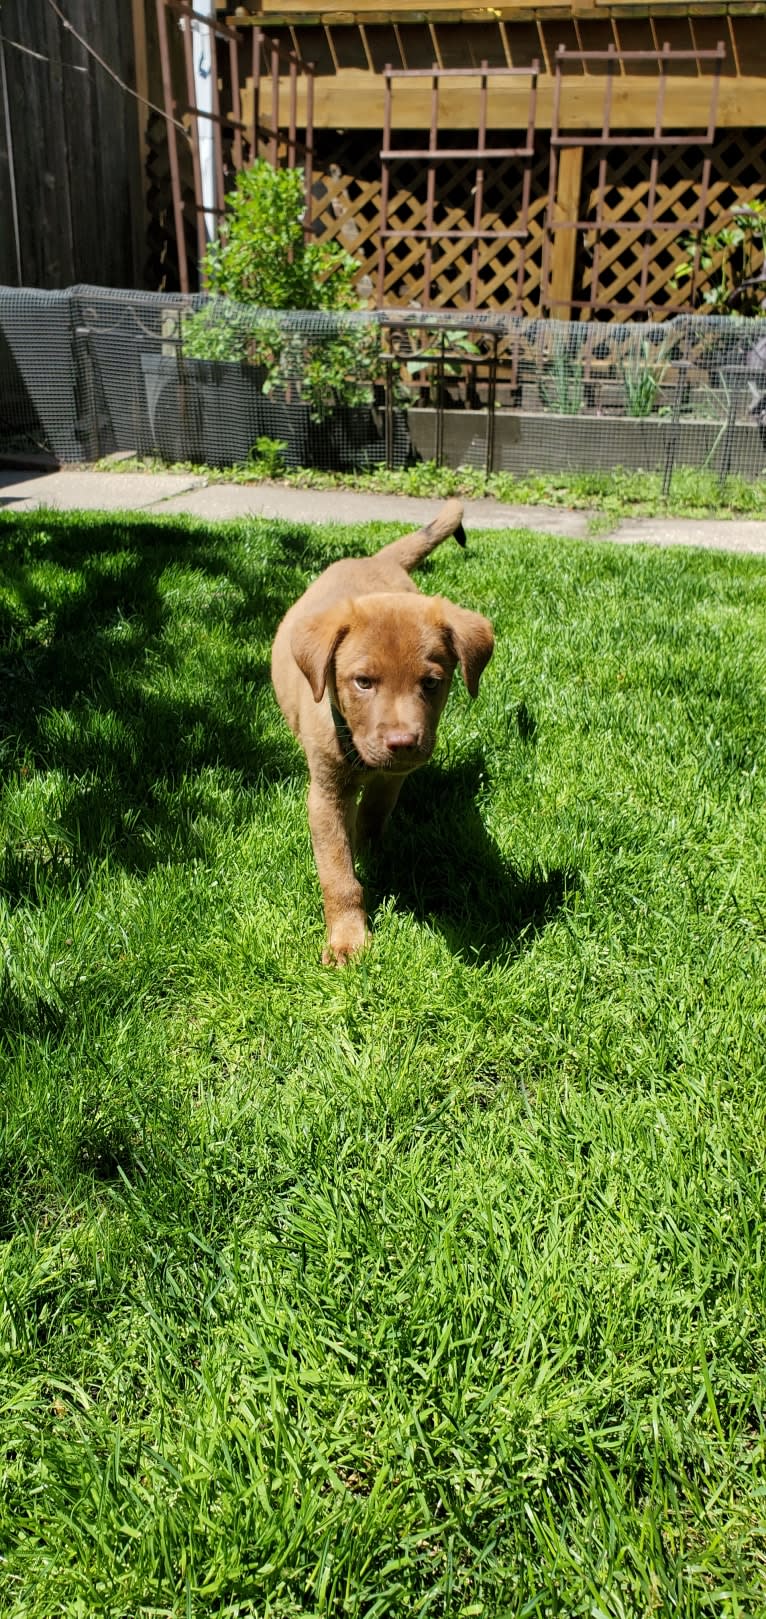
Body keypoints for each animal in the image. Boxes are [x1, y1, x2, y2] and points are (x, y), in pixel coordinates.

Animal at [272, 498, 492, 958]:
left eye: (432, 683)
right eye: (363, 682)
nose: (403, 742)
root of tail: (375, 559)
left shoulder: (393, 779)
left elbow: (372, 818)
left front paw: (372, 857)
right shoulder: (325, 795)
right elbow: (337, 874)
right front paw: (347, 938)